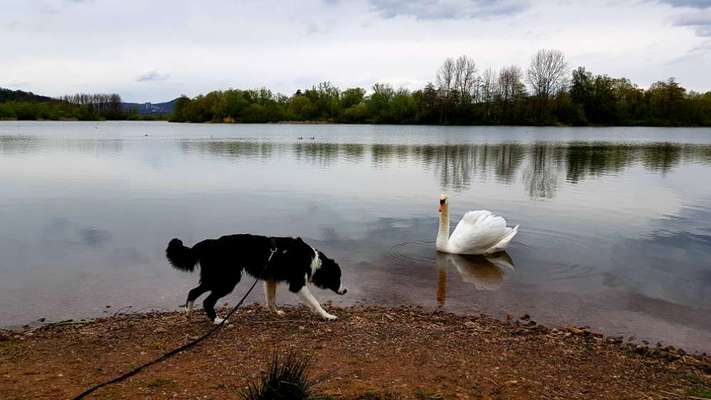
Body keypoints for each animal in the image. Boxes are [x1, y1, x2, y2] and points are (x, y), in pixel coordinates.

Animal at [167, 234, 344, 322]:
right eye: (338, 277)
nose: (345, 290)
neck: (313, 260)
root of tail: (208, 244)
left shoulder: (270, 279)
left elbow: (271, 300)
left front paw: (275, 312)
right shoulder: (297, 283)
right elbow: (315, 302)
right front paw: (327, 316)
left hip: (215, 278)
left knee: (193, 292)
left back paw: (188, 313)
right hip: (226, 280)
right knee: (206, 300)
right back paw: (217, 320)